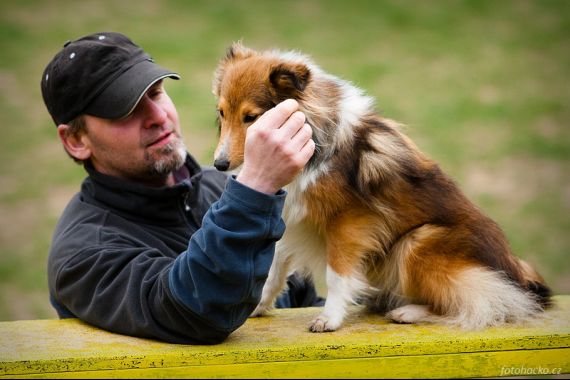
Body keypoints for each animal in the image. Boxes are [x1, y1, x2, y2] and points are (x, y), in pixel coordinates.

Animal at [211, 42, 548, 332]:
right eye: (222, 112)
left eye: (251, 117)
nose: (220, 164)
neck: (314, 133)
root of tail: (518, 275)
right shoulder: (293, 214)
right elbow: (274, 268)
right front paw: (258, 307)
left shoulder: (349, 221)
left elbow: (337, 274)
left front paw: (329, 319)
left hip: (418, 242)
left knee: (479, 303)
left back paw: (408, 311)